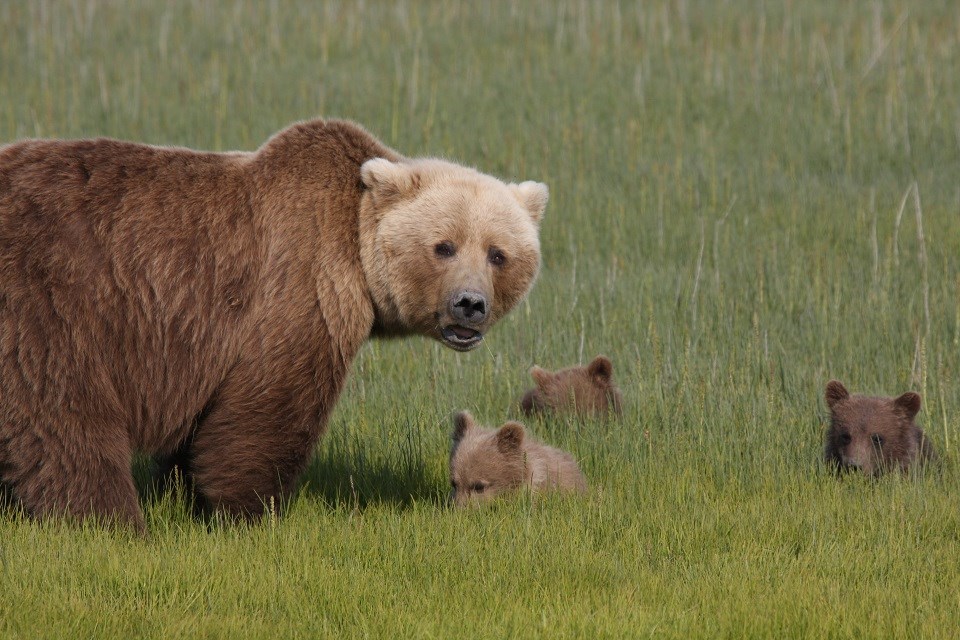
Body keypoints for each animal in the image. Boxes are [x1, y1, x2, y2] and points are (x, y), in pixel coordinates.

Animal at [0, 120, 548, 528]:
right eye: (444, 246)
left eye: (498, 253)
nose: (470, 305)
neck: (356, 251)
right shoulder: (299, 288)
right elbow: (266, 409)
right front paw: (246, 511)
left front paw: (183, 490)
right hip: (52, 300)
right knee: (62, 414)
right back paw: (110, 518)